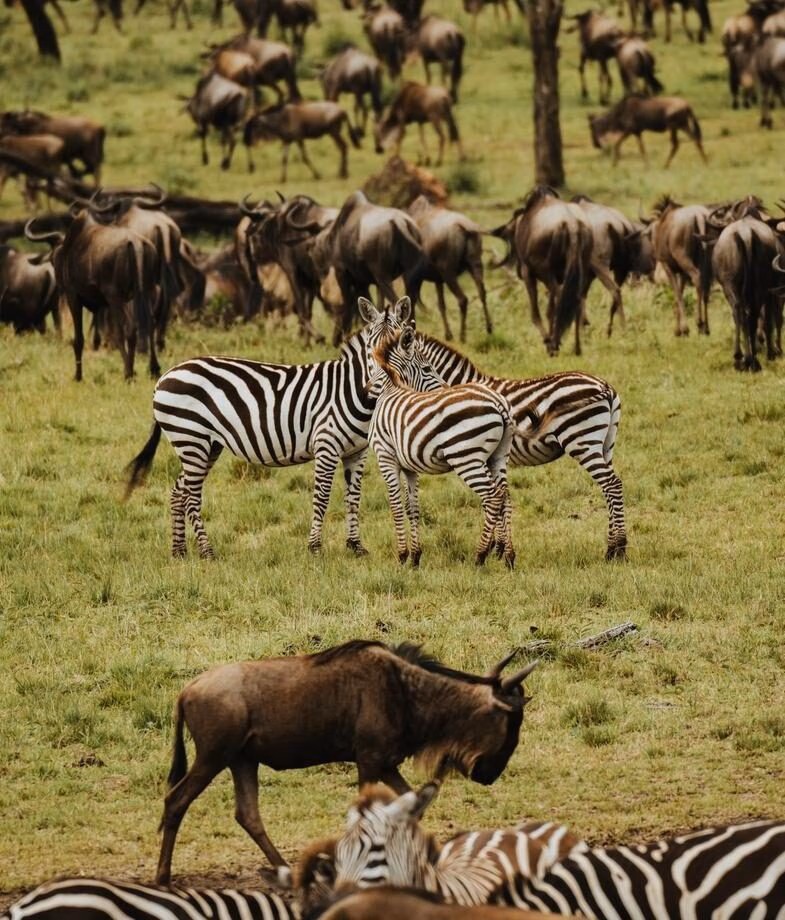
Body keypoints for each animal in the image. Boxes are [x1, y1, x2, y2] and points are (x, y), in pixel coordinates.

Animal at [123, 297, 409, 559]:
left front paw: (355, 546)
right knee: (191, 496)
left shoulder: (356, 452)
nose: (379, 384)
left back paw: (179, 551)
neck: (354, 392)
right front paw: (315, 548)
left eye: (399, 346)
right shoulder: (326, 446)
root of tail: (165, 376)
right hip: (191, 438)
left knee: (178, 492)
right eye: (370, 348)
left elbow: (353, 498)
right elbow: (322, 497)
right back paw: (207, 551)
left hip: (205, 445)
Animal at [367, 324, 544, 569]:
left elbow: (395, 505)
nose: (367, 391)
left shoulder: (386, 456)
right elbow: (412, 508)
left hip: (466, 457)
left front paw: (402, 556)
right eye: (427, 368)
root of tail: (499, 403)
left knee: (493, 497)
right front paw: (415, 558)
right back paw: (509, 557)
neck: (390, 389)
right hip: (498, 456)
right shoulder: (410, 466)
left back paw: (480, 556)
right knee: (505, 496)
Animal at [415, 333, 627, 560]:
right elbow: (498, 496)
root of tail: (605, 386)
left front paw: (496, 548)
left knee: (611, 485)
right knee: (610, 488)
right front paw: (498, 547)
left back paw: (618, 549)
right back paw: (613, 549)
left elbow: (493, 498)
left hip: (582, 441)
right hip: (606, 445)